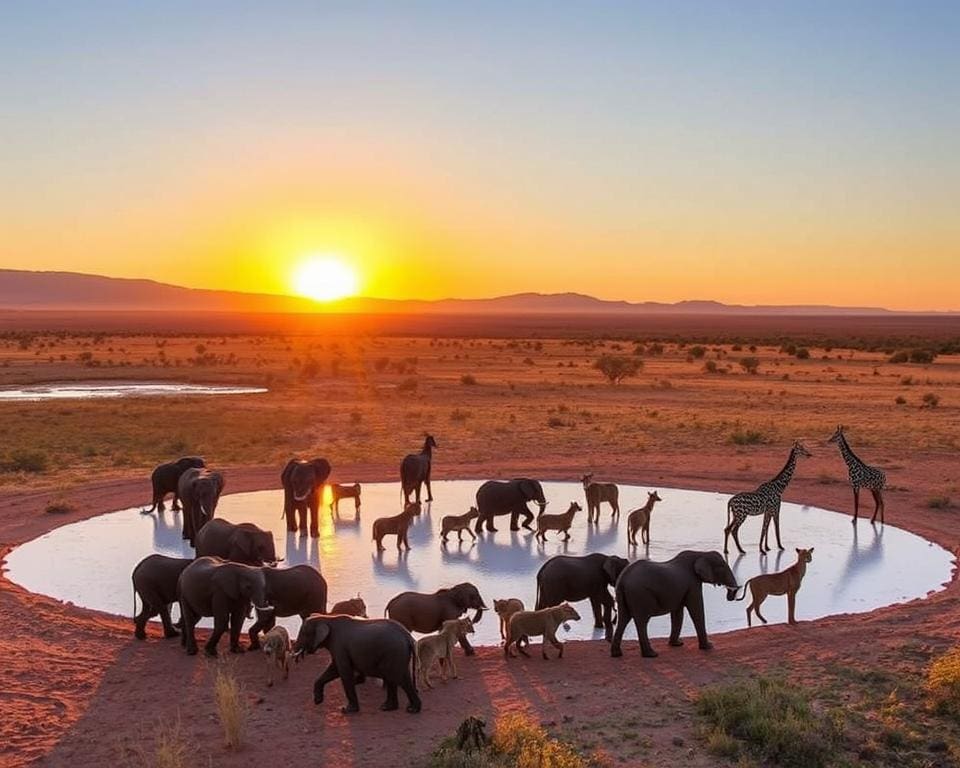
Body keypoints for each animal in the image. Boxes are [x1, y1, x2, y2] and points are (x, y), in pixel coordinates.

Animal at [292, 612, 420, 712]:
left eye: (303, 634)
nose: (297, 652)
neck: (326, 618)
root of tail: (408, 636)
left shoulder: (339, 645)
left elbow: (343, 671)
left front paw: (346, 710)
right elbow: (333, 669)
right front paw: (318, 701)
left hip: (395, 653)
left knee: (399, 678)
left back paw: (412, 710)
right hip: (396, 654)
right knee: (393, 677)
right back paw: (387, 708)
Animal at [612, 544, 740, 660]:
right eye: (722, 568)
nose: (730, 596)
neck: (701, 553)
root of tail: (622, 579)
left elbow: (678, 613)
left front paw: (677, 644)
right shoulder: (693, 584)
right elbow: (696, 610)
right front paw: (708, 647)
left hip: (623, 595)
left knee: (623, 619)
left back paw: (617, 654)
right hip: (640, 595)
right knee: (642, 622)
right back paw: (651, 655)